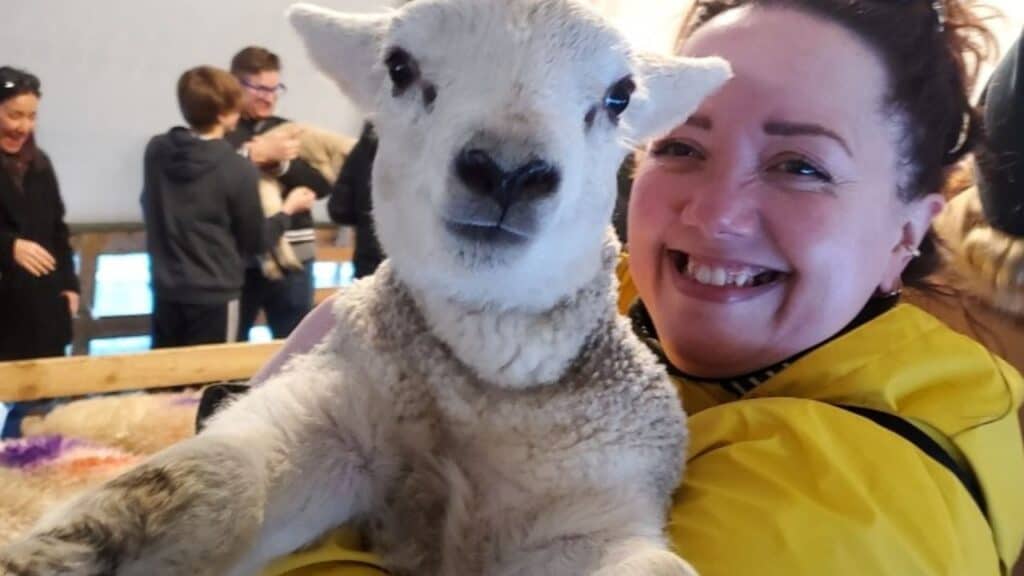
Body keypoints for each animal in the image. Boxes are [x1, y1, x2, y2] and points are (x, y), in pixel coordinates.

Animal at [0, 1, 729, 574]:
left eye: (619, 96)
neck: (482, 389)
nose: (507, 171)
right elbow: (199, 479)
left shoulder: (600, 497)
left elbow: (659, 566)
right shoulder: (335, 404)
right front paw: (46, 559)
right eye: (399, 68)